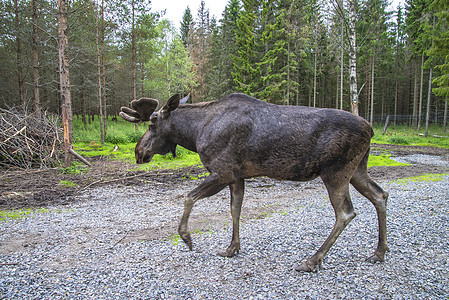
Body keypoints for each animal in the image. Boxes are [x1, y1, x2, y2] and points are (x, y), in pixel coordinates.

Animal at [120, 93, 388, 272]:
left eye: (152, 123)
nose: (138, 152)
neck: (195, 133)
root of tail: (371, 129)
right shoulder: (237, 176)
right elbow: (235, 209)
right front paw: (232, 248)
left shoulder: (222, 171)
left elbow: (189, 197)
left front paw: (186, 237)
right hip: (357, 170)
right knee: (380, 195)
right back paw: (379, 252)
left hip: (336, 172)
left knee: (345, 212)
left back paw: (312, 260)